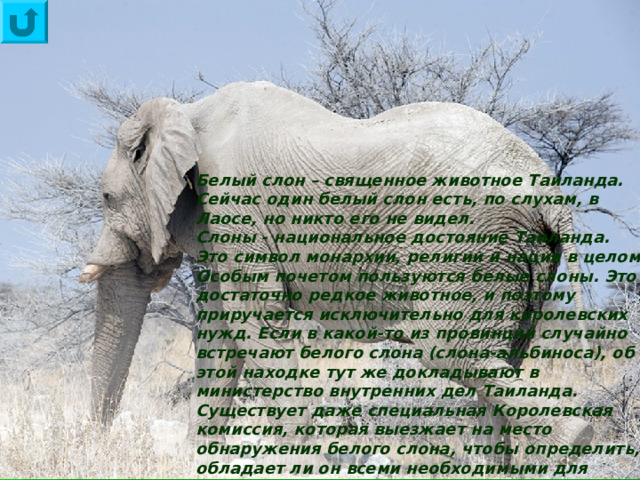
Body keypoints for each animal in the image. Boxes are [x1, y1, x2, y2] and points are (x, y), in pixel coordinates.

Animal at [79, 81, 594, 460]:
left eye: (106, 197)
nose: (98, 444)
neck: (189, 113)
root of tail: (550, 193)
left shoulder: (234, 201)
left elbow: (257, 320)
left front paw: (298, 456)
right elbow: (222, 331)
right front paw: (197, 459)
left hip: (464, 238)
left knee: (451, 352)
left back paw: (577, 437)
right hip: (519, 251)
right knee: (503, 355)